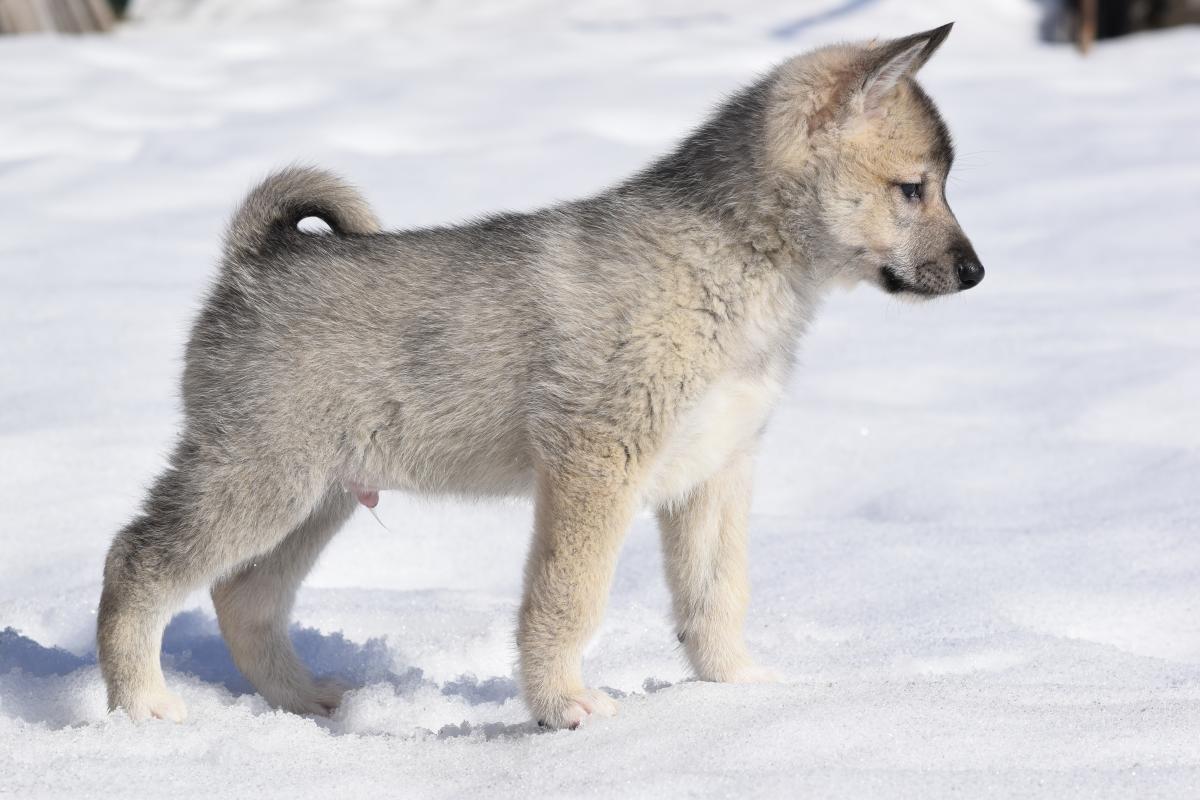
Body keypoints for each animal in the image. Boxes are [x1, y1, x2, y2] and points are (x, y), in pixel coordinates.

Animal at [98, 23, 984, 724]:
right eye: (914, 188)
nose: (976, 274)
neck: (735, 261)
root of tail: (255, 259)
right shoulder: (596, 463)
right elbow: (570, 598)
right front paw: (563, 707)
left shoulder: (717, 470)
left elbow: (715, 595)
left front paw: (733, 689)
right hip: (260, 480)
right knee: (134, 562)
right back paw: (141, 705)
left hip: (316, 498)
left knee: (242, 598)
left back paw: (305, 702)